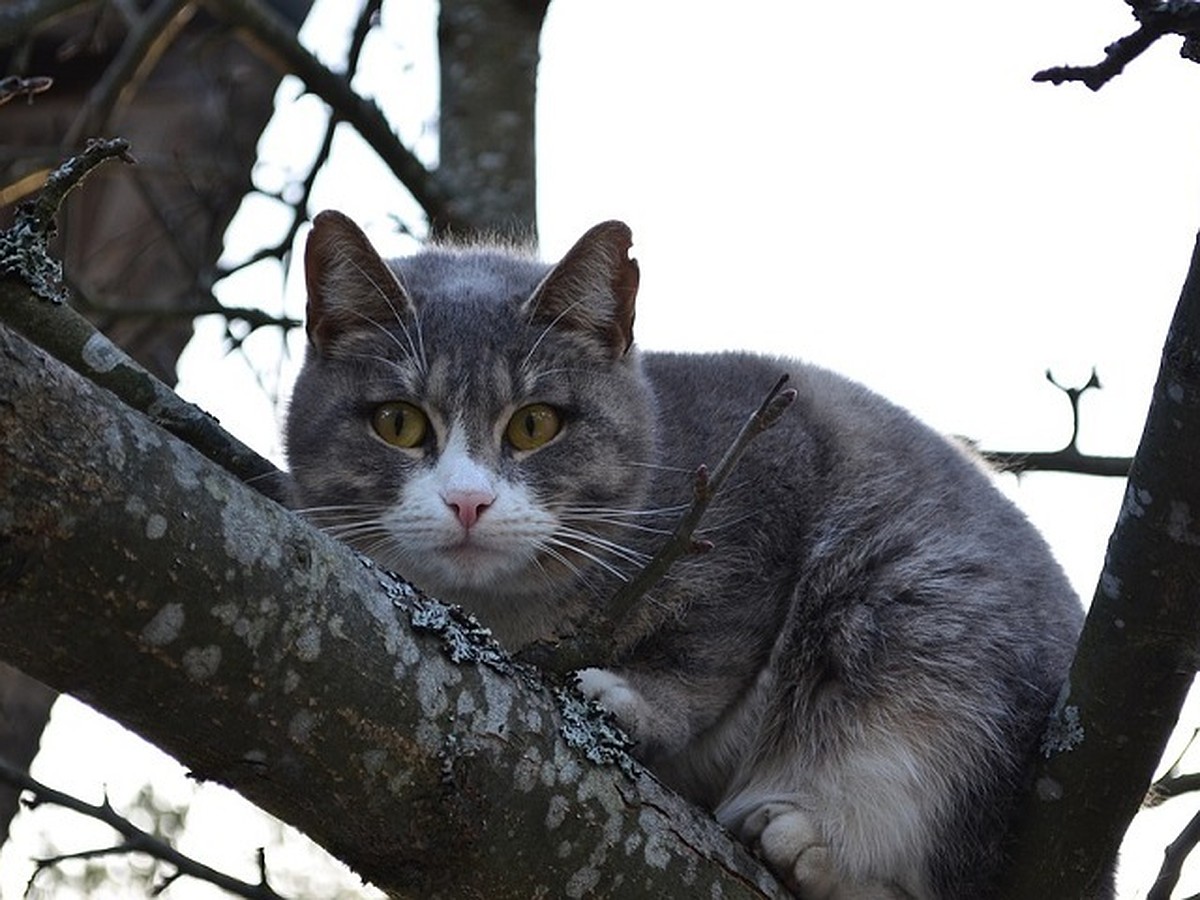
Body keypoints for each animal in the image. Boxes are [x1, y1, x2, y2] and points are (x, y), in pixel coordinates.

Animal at [285, 207, 1094, 897]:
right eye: (398, 422)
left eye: (534, 424)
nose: (467, 501)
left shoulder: (770, 465)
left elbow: (712, 644)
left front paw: (633, 700)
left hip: (926, 640)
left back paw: (810, 849)